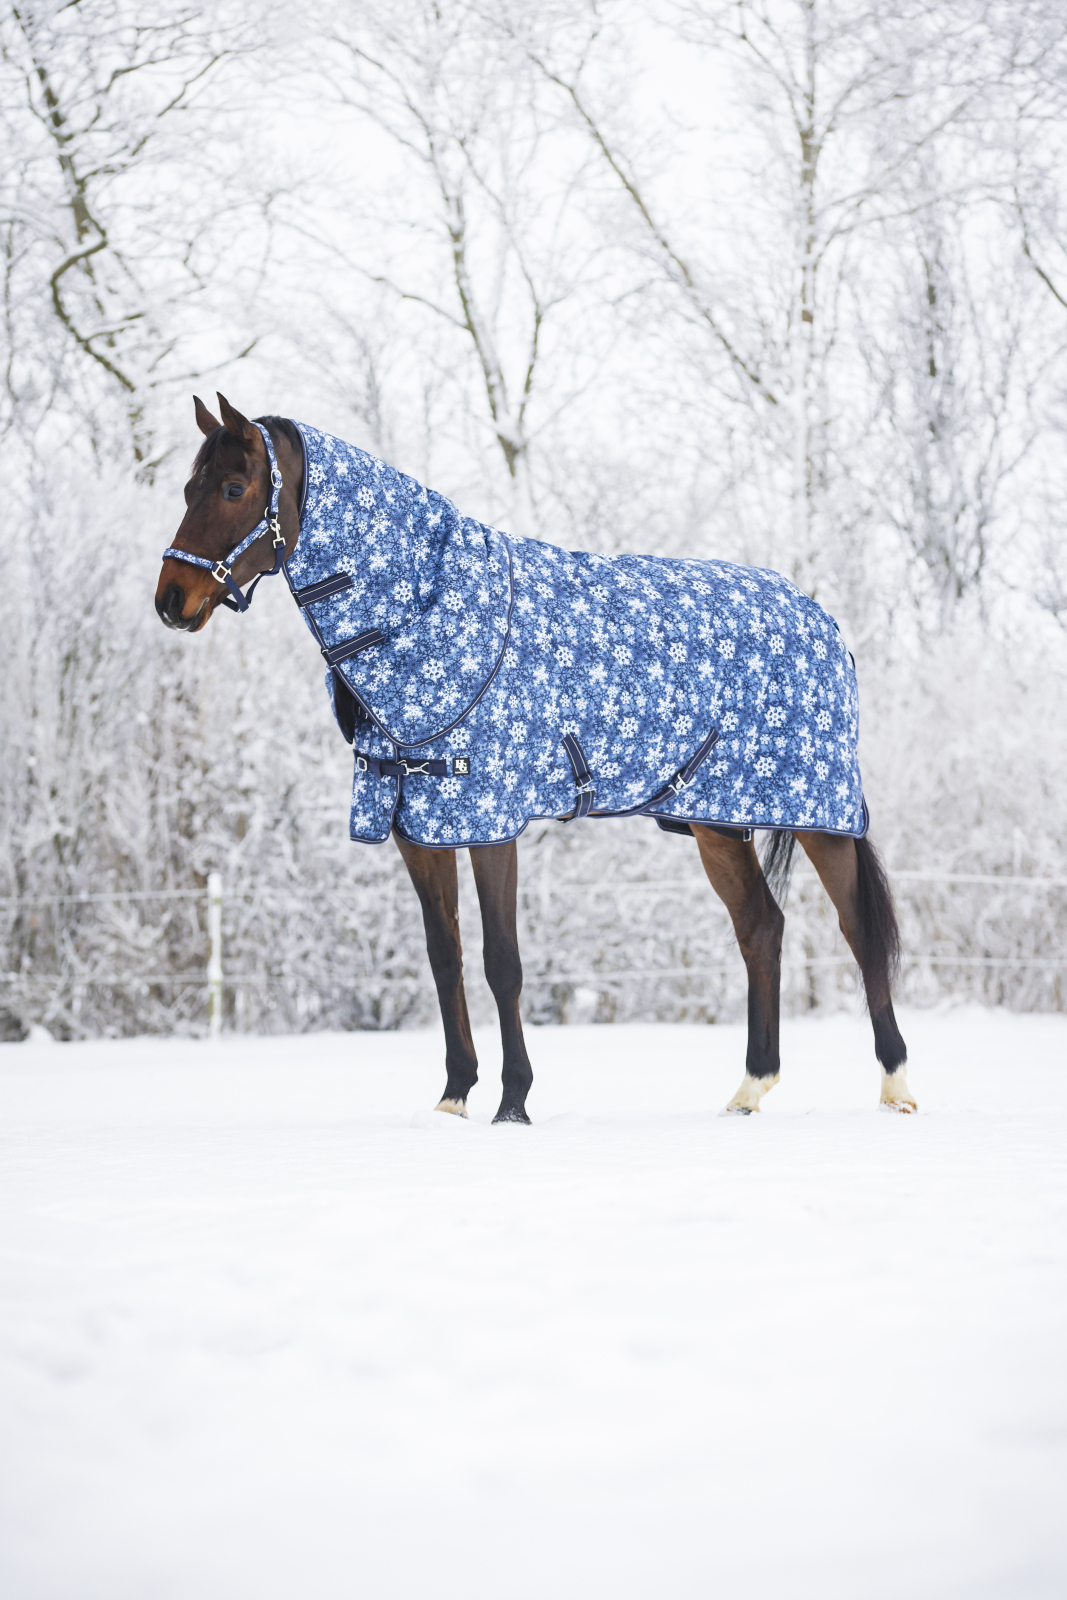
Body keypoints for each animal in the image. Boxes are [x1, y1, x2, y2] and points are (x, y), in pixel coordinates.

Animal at [155, 393, 916, 1122]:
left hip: (818, 814)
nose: (171, 599)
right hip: (716, 822)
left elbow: (502, 961)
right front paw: (454, 1096)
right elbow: (445, 957)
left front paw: (512, 1102)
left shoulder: (491, 821)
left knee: (857, 928)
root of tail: (821, 618)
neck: (429, 612)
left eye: (232, 488)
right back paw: (750, 1089)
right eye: (189, 487)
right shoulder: (418, 826)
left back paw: (895, 1086)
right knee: (759, 927)